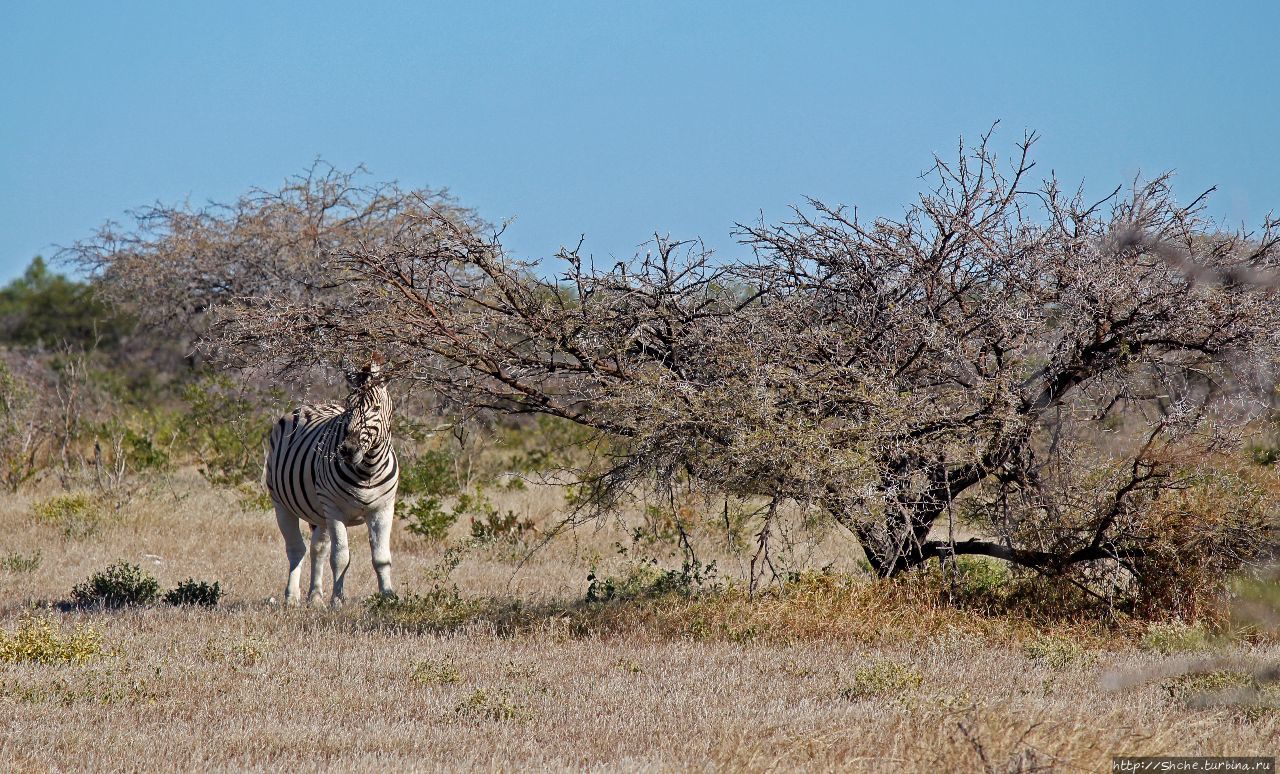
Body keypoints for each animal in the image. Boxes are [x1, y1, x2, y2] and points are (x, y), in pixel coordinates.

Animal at [262, 353, 396, 606]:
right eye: (349, 406)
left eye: (376, 407)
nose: (348, 450)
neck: (367, 469)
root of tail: (311, 404)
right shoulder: (334, 510)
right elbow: (341, 557)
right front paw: (337, 600)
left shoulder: (383, 509)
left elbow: (382, 558)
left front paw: (389, 597)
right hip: (282, 504)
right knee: (296, 549)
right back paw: (292, 597)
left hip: (319, 512)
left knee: (318, 549)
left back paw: (315, 597)